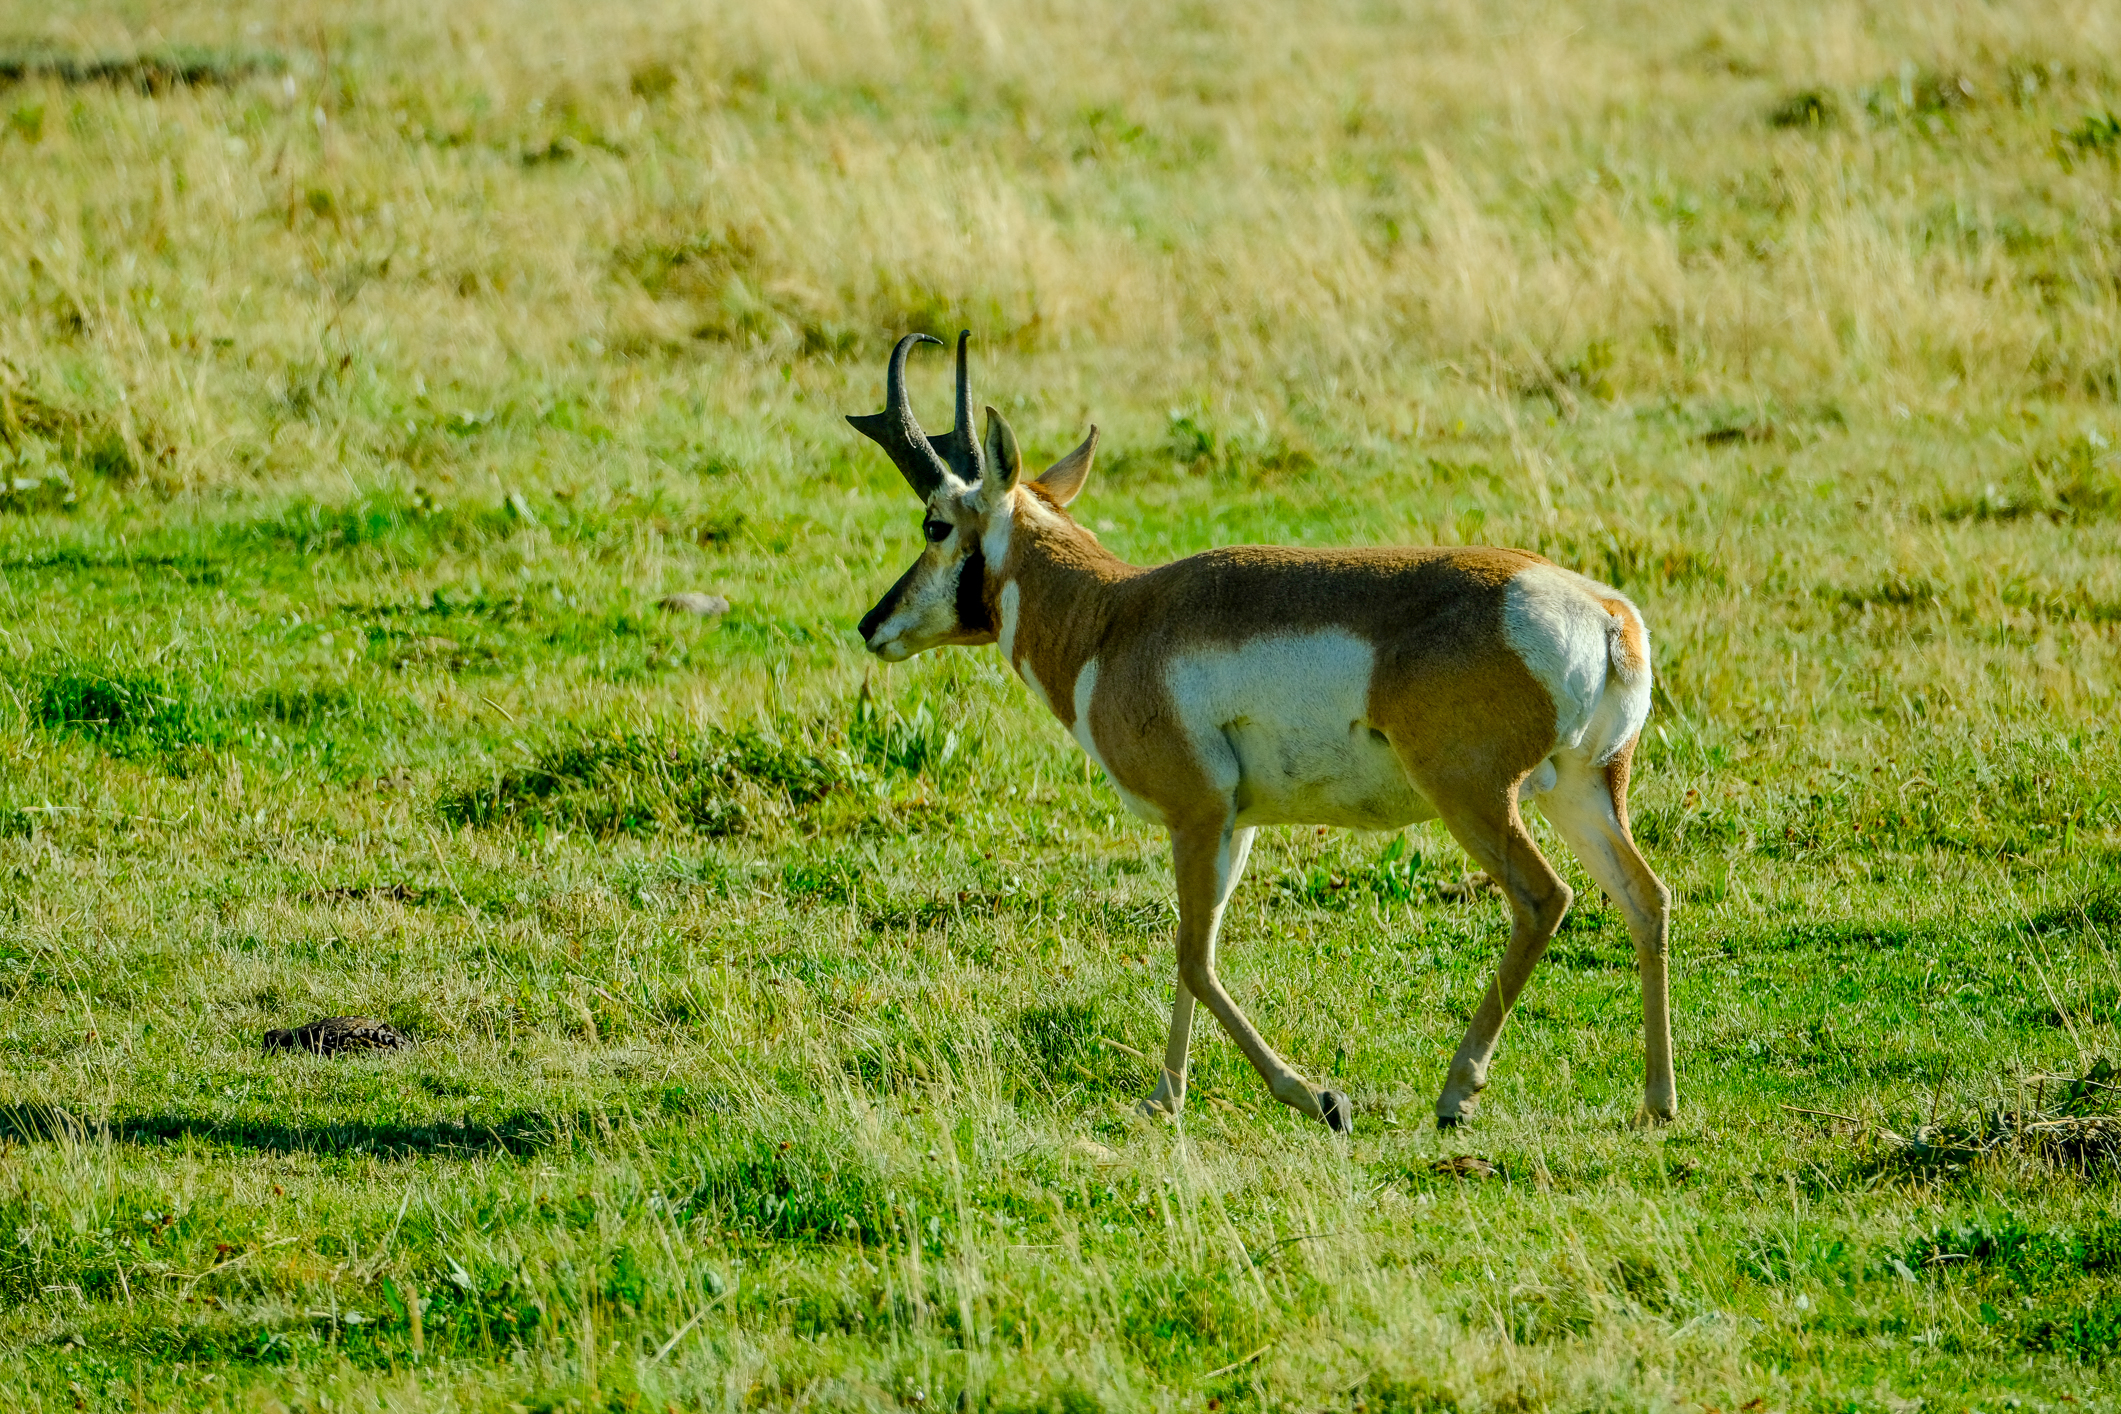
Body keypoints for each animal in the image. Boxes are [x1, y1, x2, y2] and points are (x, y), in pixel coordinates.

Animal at [850, 332, 1674, 1132]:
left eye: (934, 522)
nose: (870, 624)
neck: (1114, 618)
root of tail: (1605, 613)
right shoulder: (1232, 826)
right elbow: (1197, 948)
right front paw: (1165, 1098)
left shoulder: (1194, 816)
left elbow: (1192, 956)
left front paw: (1315, 1096)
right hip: (1581, 793)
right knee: (1646, 898)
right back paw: (1657, 1103)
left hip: (1475, 798)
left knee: (1543, 899)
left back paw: (1456, 1093)